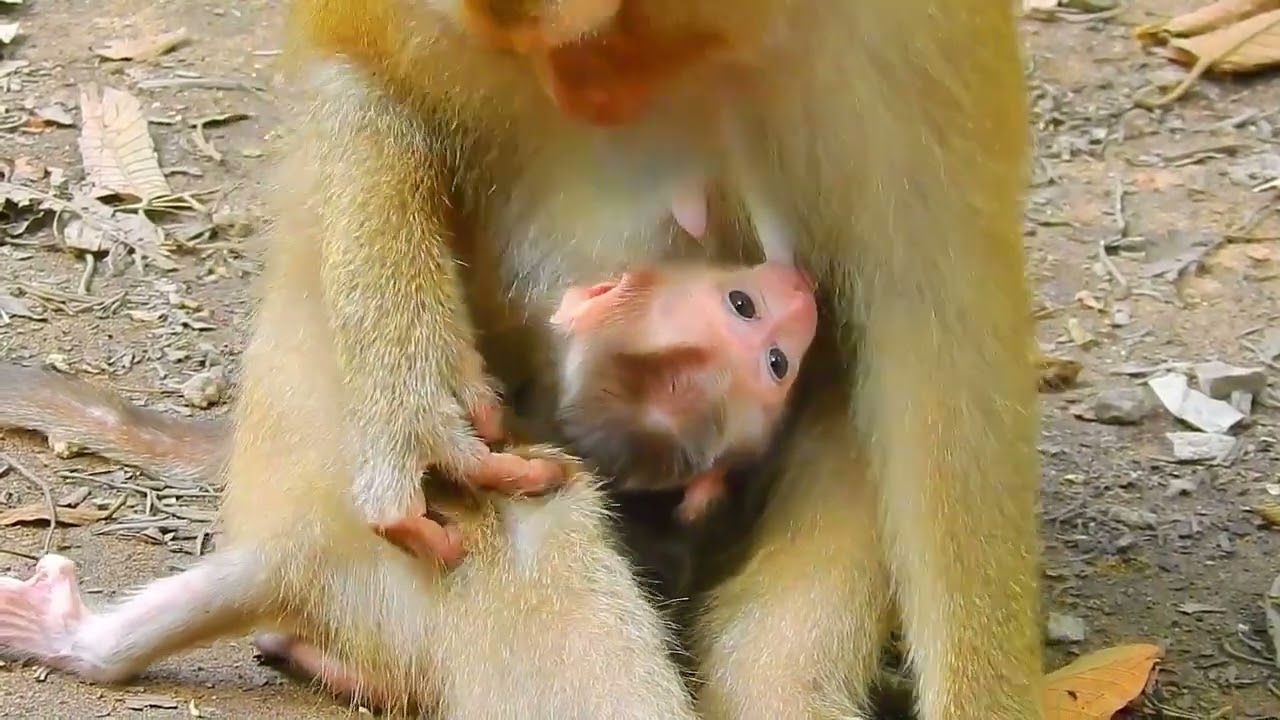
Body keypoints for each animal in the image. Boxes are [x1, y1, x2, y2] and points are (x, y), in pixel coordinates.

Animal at [0, 0, 1042, 717]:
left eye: (773, 357)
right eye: (741, 305)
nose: (591, 96)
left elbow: (934, 330)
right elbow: (357, 69)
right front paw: (414, 416)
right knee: (515, 516)